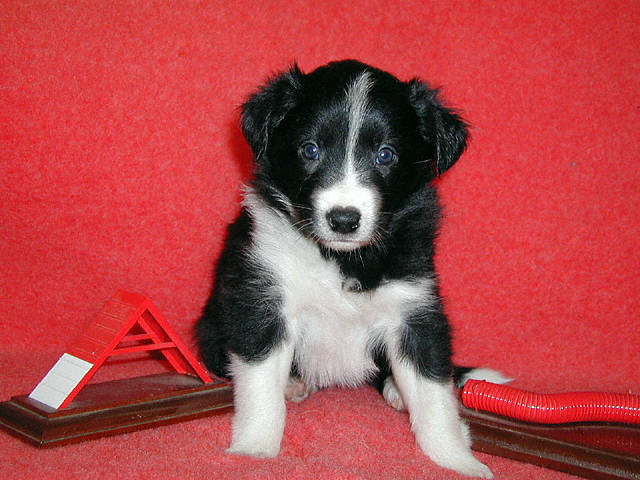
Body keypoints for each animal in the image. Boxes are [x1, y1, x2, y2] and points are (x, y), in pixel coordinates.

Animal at [196, 60, 507, 478]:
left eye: (386, 155)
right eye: (310, 149)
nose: (343, 219)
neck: (343, 258)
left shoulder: (415, 308)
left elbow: (434, 392)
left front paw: (457, 461)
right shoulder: (262, 301)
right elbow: (259, 385)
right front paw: (254, 450)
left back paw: (395, 389)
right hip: (211, 325)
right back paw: (292, 384)